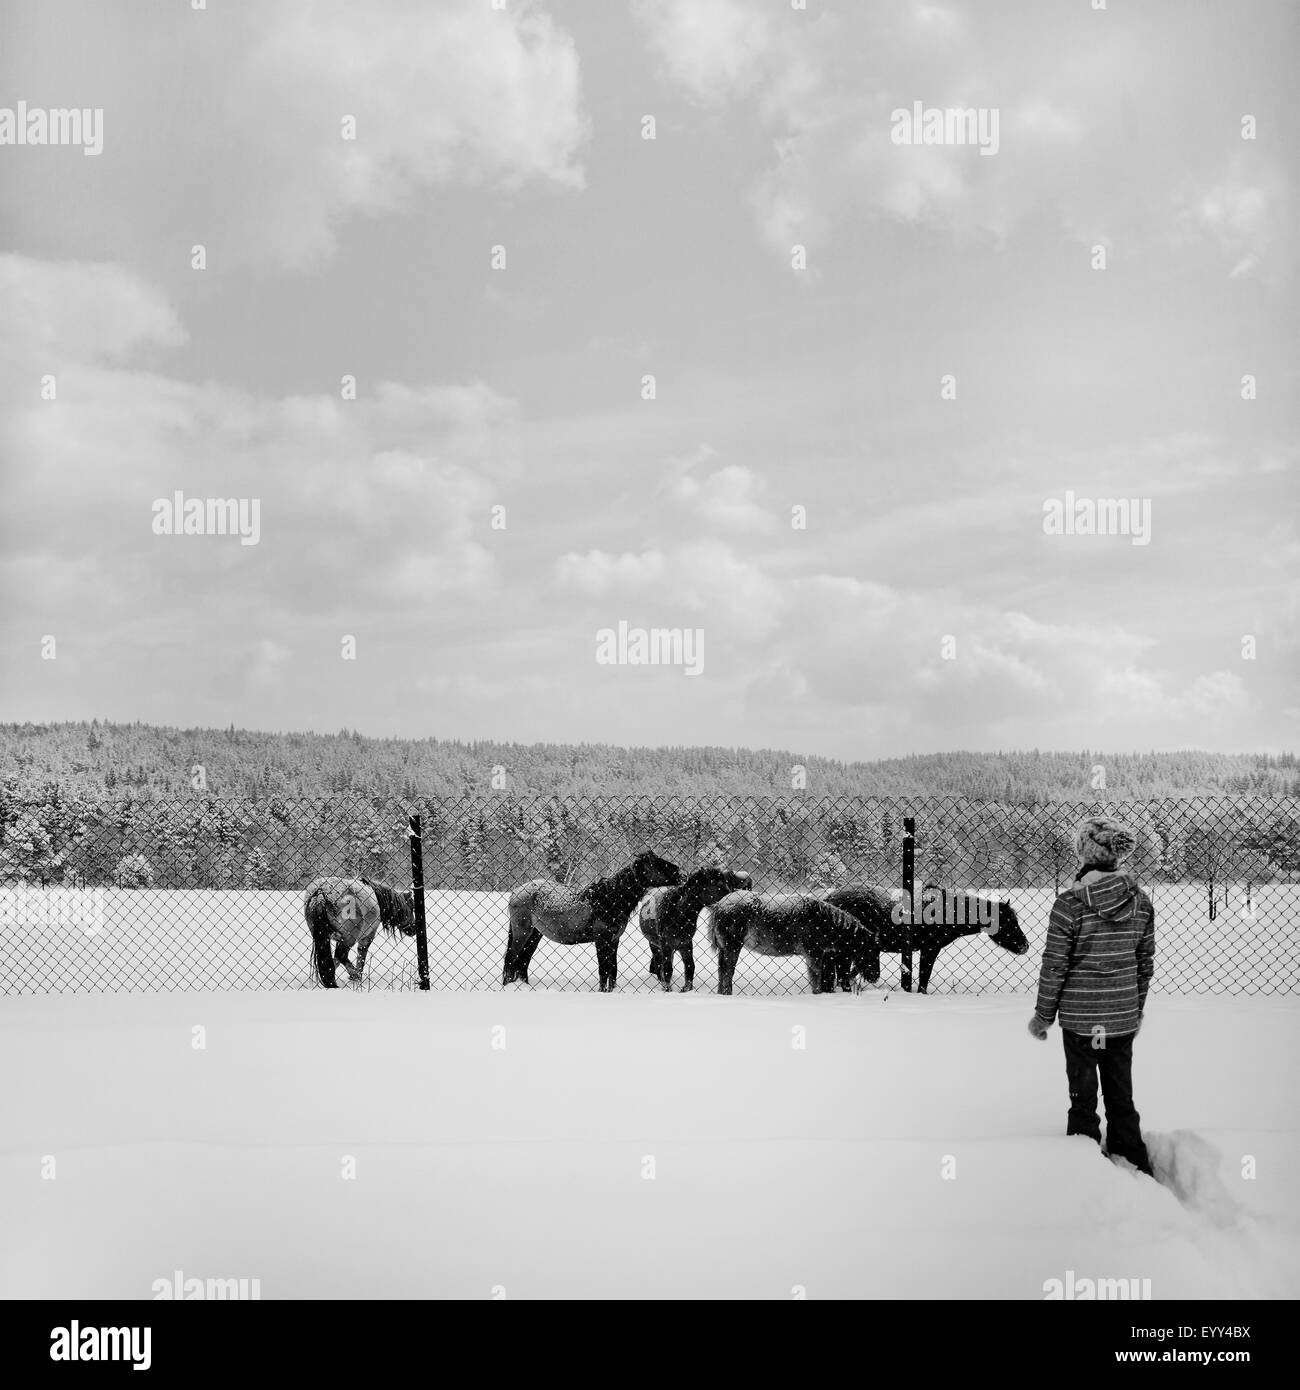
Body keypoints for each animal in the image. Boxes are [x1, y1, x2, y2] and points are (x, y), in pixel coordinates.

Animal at [503, 845, 681, 989]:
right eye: (656, 864)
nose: (679, 872)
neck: (609, 899)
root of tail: (516, 892)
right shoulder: (601, 940)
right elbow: (603, 970)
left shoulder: (614, 940)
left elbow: (612, 970)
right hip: (522, 932)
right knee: (512, 958)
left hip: (535, 934)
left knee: (523, 960)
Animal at [700, 895, 884, 995]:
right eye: (871, 950)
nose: (875, 976)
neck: (824, 922)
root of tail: (719, 905)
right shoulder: (814, 953)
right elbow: (816, 977)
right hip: (732, 947)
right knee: (727, 972)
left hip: (724, 949)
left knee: (721, 971)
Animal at [828, 884, 1034, 995]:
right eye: (1008, 923)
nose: (1025, 946)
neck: (946, 911)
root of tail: (830, 898)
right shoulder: (930, 949)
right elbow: (924, 977)